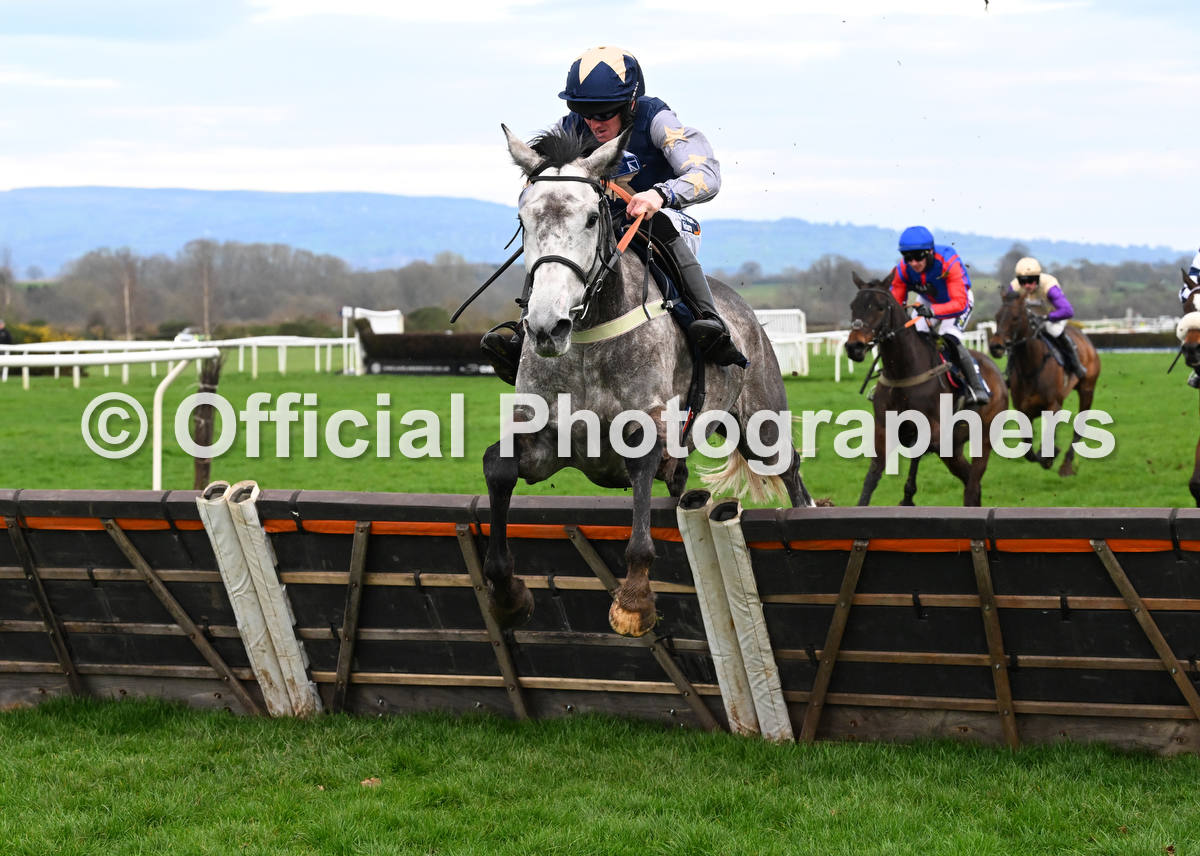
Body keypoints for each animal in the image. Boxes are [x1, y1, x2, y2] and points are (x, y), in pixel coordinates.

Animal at [480, 125, 816, 633]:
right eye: (524, 219)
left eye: (591, 219)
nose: (546, 327)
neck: (587, 344)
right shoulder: (546, 443)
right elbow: (497, 467)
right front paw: (507, 595)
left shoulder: (643, 431)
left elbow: (639, 528)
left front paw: (635, 601)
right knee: (681, 484)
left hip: (763, 420)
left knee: (790, 469)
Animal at [844, 270, 1012, 504]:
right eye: (853, 306)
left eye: (879, 306)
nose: (854, 346)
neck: (904, 371)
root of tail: (997, 374)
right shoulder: (884, 431)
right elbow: (871, 479)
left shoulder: (935, 432)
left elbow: (918, 451)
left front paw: (907, 498)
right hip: (954, 450)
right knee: (971, 481)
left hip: (984, 438)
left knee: (972, 483)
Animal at [984, 286, 1099, 473]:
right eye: (997, 316)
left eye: (1015, 317)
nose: (996, 347)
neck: (1031, 368)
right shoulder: (1024, 409)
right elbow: (1028, 450)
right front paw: (1047, 455)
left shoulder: (1053, 405)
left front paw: (1051, 455)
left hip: (1087, 389)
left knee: (1079, 427)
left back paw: (1067, 465)